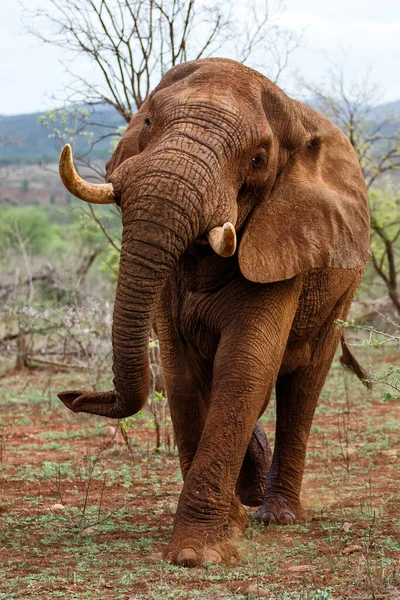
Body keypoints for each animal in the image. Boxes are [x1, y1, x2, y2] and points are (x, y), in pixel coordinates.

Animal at [56, 57, 372, 568]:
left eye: (258, 159)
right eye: (148, 122)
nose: (71, 396)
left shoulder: (280, 243)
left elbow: (243, 367)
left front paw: (197, 553)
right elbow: (181, 373)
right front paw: (229, 528)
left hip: (344, 284)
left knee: (304, 382)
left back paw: (277, 515)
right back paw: (250, 500)